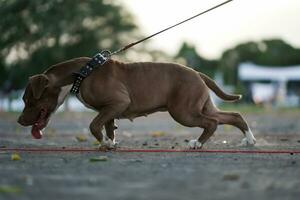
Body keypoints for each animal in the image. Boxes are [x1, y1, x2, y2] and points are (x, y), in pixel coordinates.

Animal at [17, 57, 255, 149]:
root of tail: (197, 73)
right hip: (200, 106)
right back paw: (249, 140)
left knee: (212, 123)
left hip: (183, 111)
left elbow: (93, 125)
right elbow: (107, 127)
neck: (81, 74)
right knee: (232, 116)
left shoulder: (117, 103)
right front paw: (110, 143)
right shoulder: (109, 110)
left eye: (28, 99)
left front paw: (104, 143)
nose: (19, 121)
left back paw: (197, 143)